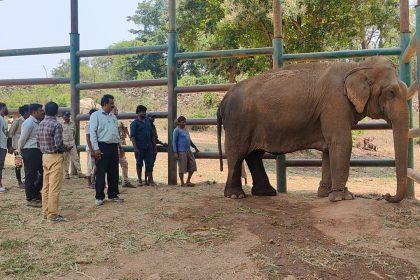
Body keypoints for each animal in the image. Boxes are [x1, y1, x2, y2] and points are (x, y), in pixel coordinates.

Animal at [217, 55, 416, 202]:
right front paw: (343, 197)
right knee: (237, 152)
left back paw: (266, 193)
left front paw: (325, 194)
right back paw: (235, 195)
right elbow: (341, 141)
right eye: (391, 93)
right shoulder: (335, 102)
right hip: (238, 121)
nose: (386, 196)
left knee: (254, 155)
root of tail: (223, 100)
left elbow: (329, 146)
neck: (357, 66)